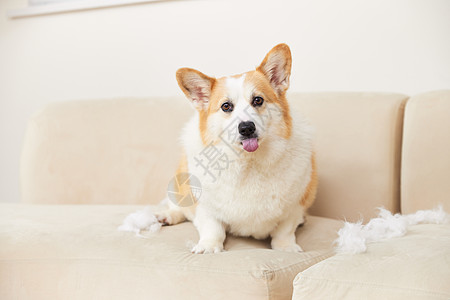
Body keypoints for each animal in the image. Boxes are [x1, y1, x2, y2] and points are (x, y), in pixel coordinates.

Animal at [156, 44, 318, 253]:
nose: (247, 128)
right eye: (226, 106)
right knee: (178, 207)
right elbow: (213, 228)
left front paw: (285, 247)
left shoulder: (295, 205)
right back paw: (167, 216)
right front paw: (209, 246)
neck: (248, 161)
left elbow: (285, 230)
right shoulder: (206, 207)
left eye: (258, 100)